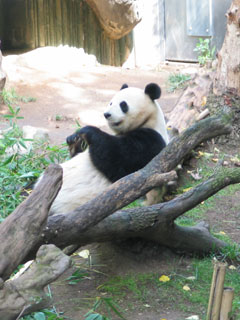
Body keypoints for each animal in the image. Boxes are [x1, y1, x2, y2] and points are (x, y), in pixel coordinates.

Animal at [45, 82, 169, 215]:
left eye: (123, 105)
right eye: (111, 102)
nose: (107, 114)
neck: (149, 120)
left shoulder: (151, 142)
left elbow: (118, 160)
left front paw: (87, 130)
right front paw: (74, 139)